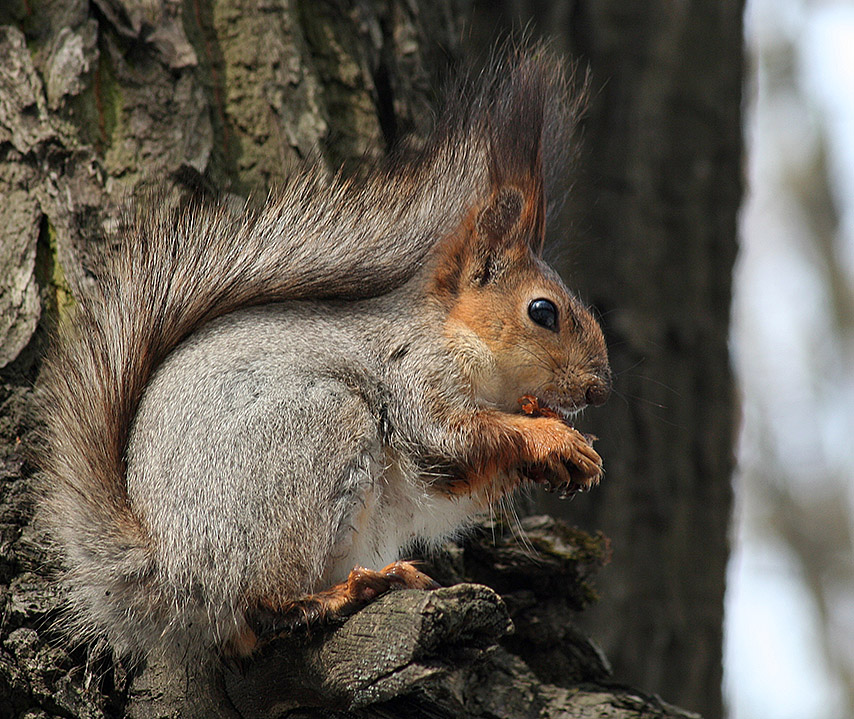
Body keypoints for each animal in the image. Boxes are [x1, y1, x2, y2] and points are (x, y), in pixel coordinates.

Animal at [33, 45, 608, 664]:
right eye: (543, 312)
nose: (599, 388)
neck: (459, 336)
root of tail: (170, 572)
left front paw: (568, 453)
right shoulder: (417, 373)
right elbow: (446, 437)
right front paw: (553, 438)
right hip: (315, 442)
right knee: (259, 608)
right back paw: (349, 591)